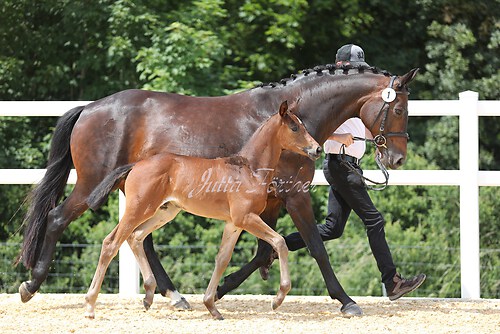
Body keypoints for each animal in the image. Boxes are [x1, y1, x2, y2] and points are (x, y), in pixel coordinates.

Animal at [85, 100, 320, 320]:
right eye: (294, 128)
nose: (317, 149)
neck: (249, 169)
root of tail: (136, 165)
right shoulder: (246, 218)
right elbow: (280, 242)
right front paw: (278, 299)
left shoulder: (233, 223)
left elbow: (222, 259)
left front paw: (211, 306)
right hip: (139, 208)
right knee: (111, 242)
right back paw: (90, 305)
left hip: (165, 211)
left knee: (136, 236)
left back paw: (149, 295)